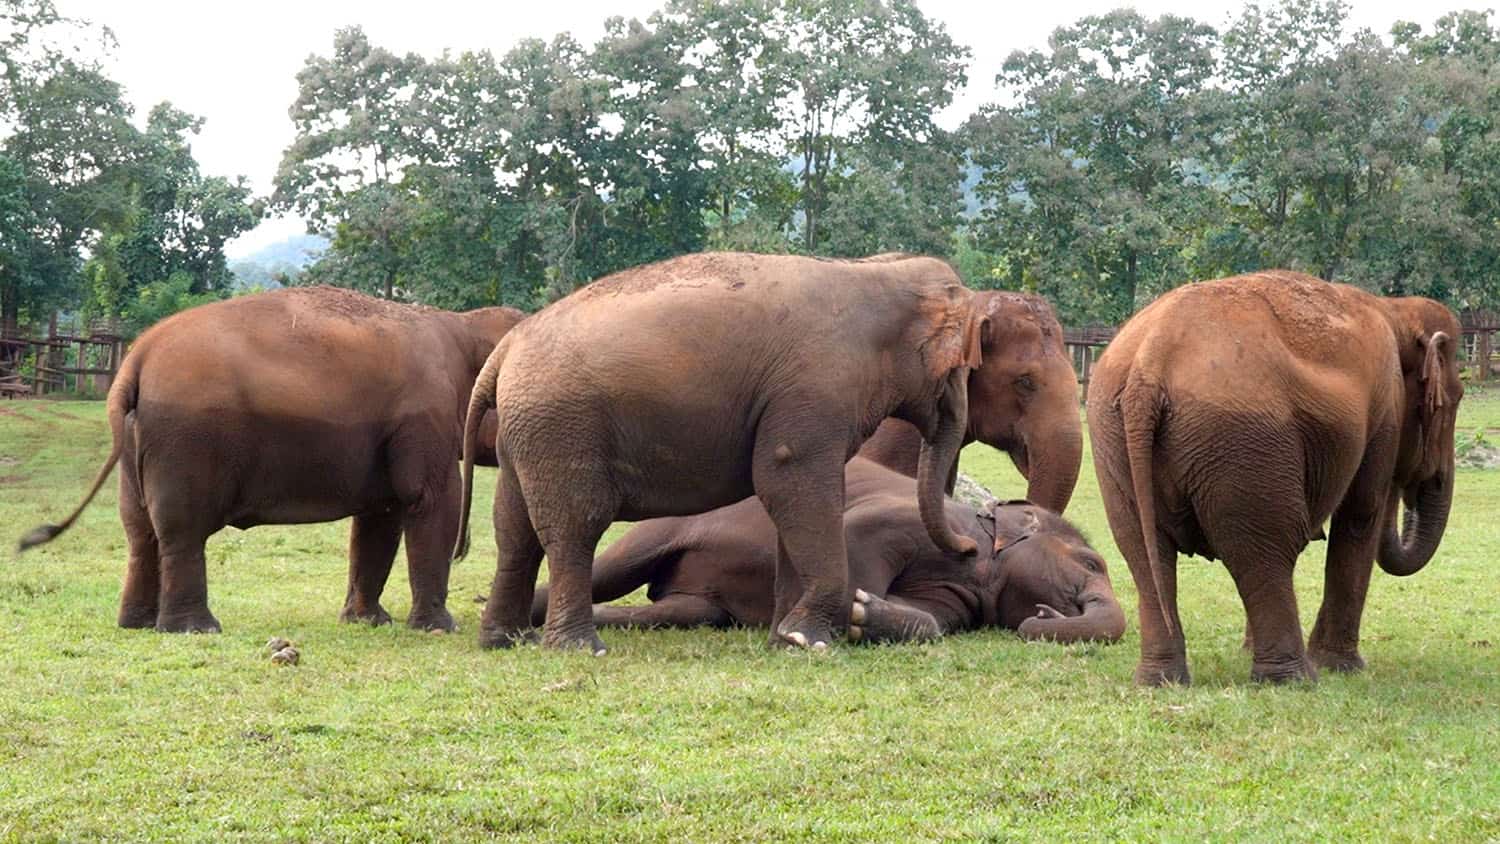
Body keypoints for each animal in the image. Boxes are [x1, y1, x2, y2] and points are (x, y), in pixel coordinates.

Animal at [19, 286, 523, 633]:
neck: (459, 325)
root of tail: (135, 359)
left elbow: (380, 518)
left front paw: (367, 621)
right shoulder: (426, 413)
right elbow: (430, 501)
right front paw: (439, 628)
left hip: (133, 442)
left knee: (139, 529)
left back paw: (137, 624)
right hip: (187, 440)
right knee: (181, 528)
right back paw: (196, 629)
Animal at [456, 252, 990, 655]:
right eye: (962, 369)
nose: (970, 546)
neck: (877, 271)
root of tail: (505, 348)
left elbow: (788, 499)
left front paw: (784, 642)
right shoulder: (814, 390)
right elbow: (791, 482)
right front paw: (809, 642)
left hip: (525, 430)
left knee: (514, 528)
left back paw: (506, 640)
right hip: (563, 425)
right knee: (575, 526)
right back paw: (580, 650)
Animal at [527, 457, 1125, 644]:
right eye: (1092, 563)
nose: (1044, 614)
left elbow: (931, 621)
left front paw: (866, 616)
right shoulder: (915, 516)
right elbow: (855, 534)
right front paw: (825, 627)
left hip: (697, 603)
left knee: (681, 612)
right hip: (665, 527)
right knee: (614, 567)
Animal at [1086, 271, 1463, 685]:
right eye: (1455, 399)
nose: (1413, 482)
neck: (1394, 311)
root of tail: (1148, 364)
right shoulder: (1386, 406)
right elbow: (1361, 514)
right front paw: (1342, 668)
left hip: (1114, 440)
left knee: (1141, 547)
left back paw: (1161, 681)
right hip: (1242, 441)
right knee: (1265, 548)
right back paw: (1296, 679)